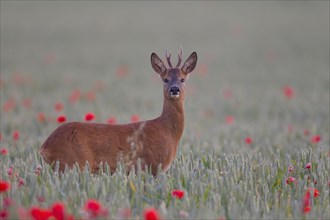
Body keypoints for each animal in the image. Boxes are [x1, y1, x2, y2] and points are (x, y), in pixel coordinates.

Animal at [40, 48, 197, 175]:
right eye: (165, 79)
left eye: (182, 79)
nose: (174, 89)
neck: (168, 132)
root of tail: (44, 147)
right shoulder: (151, 165)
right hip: (73, 163)